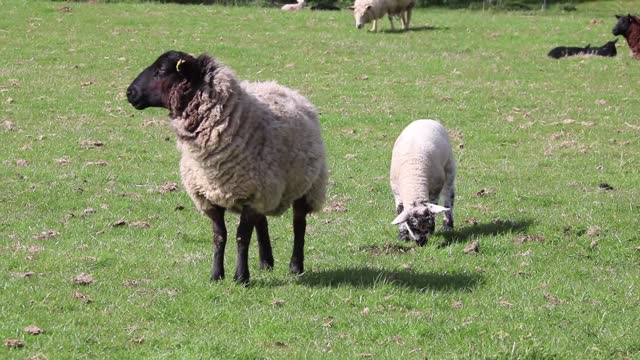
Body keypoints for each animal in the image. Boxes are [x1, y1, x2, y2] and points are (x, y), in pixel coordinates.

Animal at [125, 50, 328, 286]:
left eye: (162, 71)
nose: (130, 92)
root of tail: (279, 86)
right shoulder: (209, 196)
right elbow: (219, 236)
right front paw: (216, 275)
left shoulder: (251, 195)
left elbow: (242, 237)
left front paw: (241, 277)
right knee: (262, 223)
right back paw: (265, 262)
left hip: (308, 185)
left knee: (299, 225)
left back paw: (295, 266)